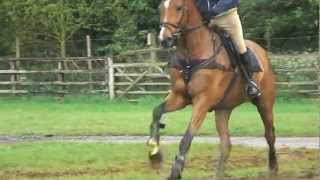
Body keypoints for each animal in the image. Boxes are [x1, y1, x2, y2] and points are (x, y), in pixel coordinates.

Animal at [147, 0, 278, 179]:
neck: (192, 53)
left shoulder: (203, 101)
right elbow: (157, 112)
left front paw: (175, 171)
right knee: (226, 144)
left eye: (179, 7)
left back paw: (273, 168)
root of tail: (263, 52)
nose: (164, 39)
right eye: (161, 7)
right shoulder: (179, 97)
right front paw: (155, 154)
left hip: (264, 103)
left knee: (270, 135)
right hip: (223, 109)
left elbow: (187, 137)